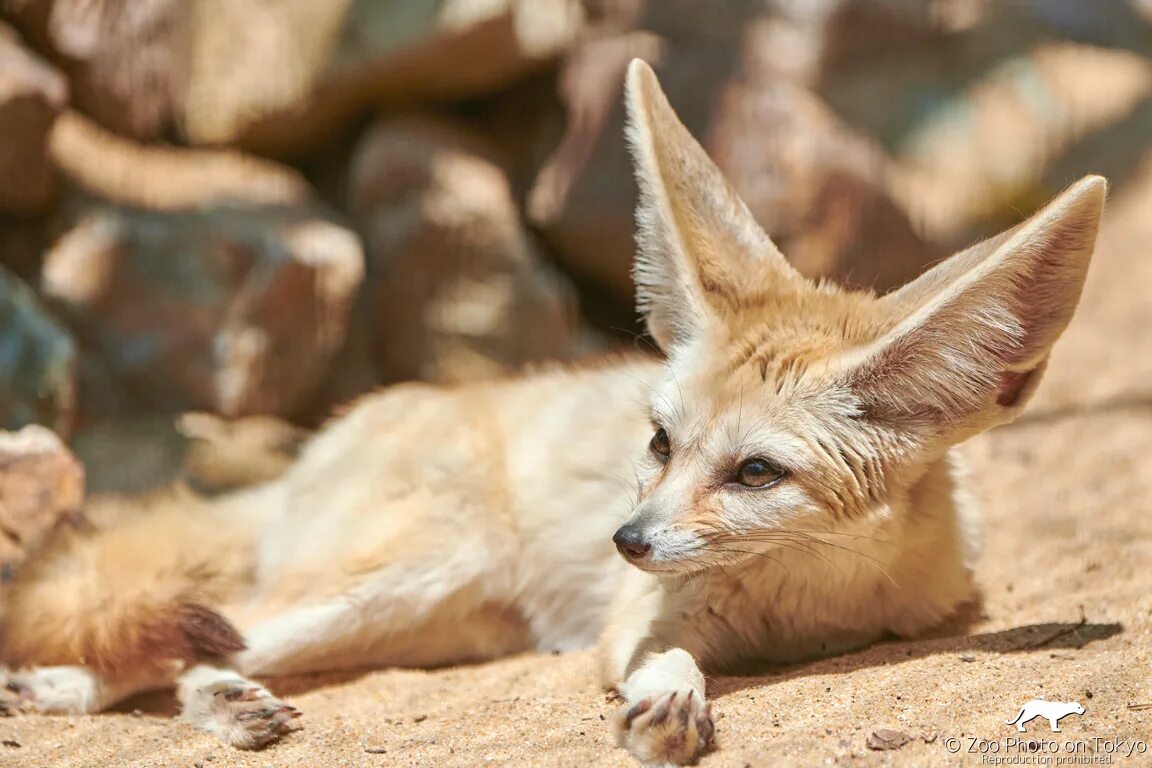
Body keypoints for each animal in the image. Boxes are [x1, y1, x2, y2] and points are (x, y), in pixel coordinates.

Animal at [0, 61, 1105, 768]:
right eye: (659, 442)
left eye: (756, 472)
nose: (625, 540)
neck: (807, 610)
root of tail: (322, 441)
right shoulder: (640, 621)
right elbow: (662, 659)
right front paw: (671, 702)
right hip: (403, 579)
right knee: (182, 645)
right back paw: (90, 693)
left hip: (429, 624)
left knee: (196, 657)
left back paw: (192, 703)